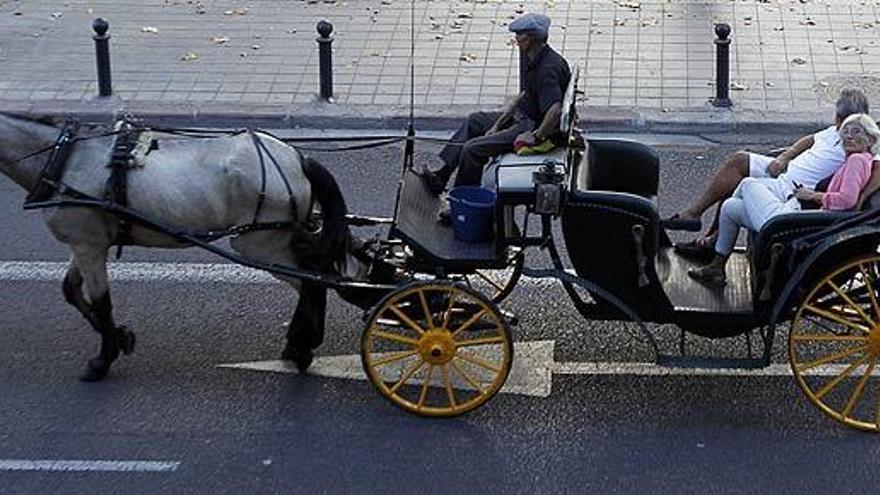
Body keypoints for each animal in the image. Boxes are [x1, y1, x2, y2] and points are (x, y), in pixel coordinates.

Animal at [0, 114, 370, 382]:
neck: (64, 157)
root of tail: (298, 157)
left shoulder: (88, 245)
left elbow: (102, 303)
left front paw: (102, 360)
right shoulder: (88, 244)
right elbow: (71, 290)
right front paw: (121, 337)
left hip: (258, 244)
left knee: (311, 280)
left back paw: (300, 347)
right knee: (316, 275)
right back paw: (299, 346)